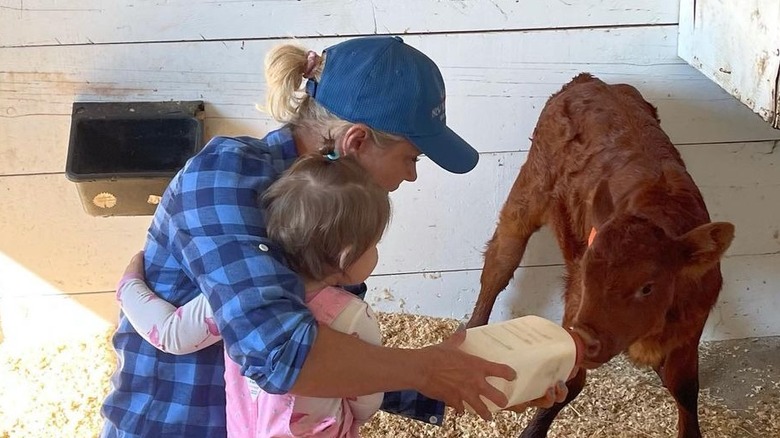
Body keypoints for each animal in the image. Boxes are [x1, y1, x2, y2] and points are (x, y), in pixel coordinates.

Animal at [466, 73, 736, 436]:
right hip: (528, 193)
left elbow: (684, 386)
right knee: (499, 263)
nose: (585, 337)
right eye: (587, 274)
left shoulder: (691, 326)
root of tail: (590, 80)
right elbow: (571, 381)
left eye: (648, 287)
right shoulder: (575, 303)